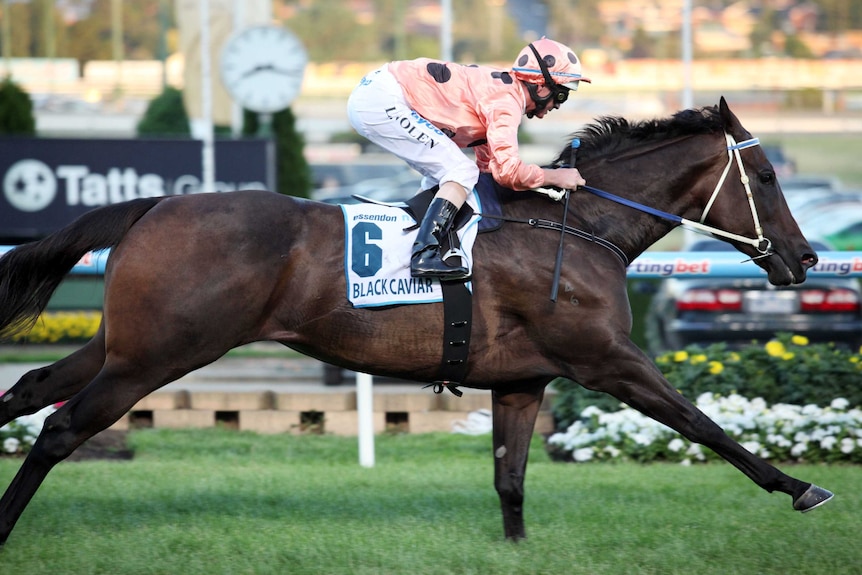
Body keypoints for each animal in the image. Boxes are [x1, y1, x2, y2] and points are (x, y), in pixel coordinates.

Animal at [0, 97, 832, 548]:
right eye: (765, 176)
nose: (806, 255)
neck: (579, 225)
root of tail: (154, 206)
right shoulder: (607, 358)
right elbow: (703, 424)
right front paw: (799, 487)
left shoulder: (524, 378)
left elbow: (509, 474)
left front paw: (517, 546)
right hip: (158, 353)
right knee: (61, 426)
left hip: (122, 343)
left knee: (30, 389)